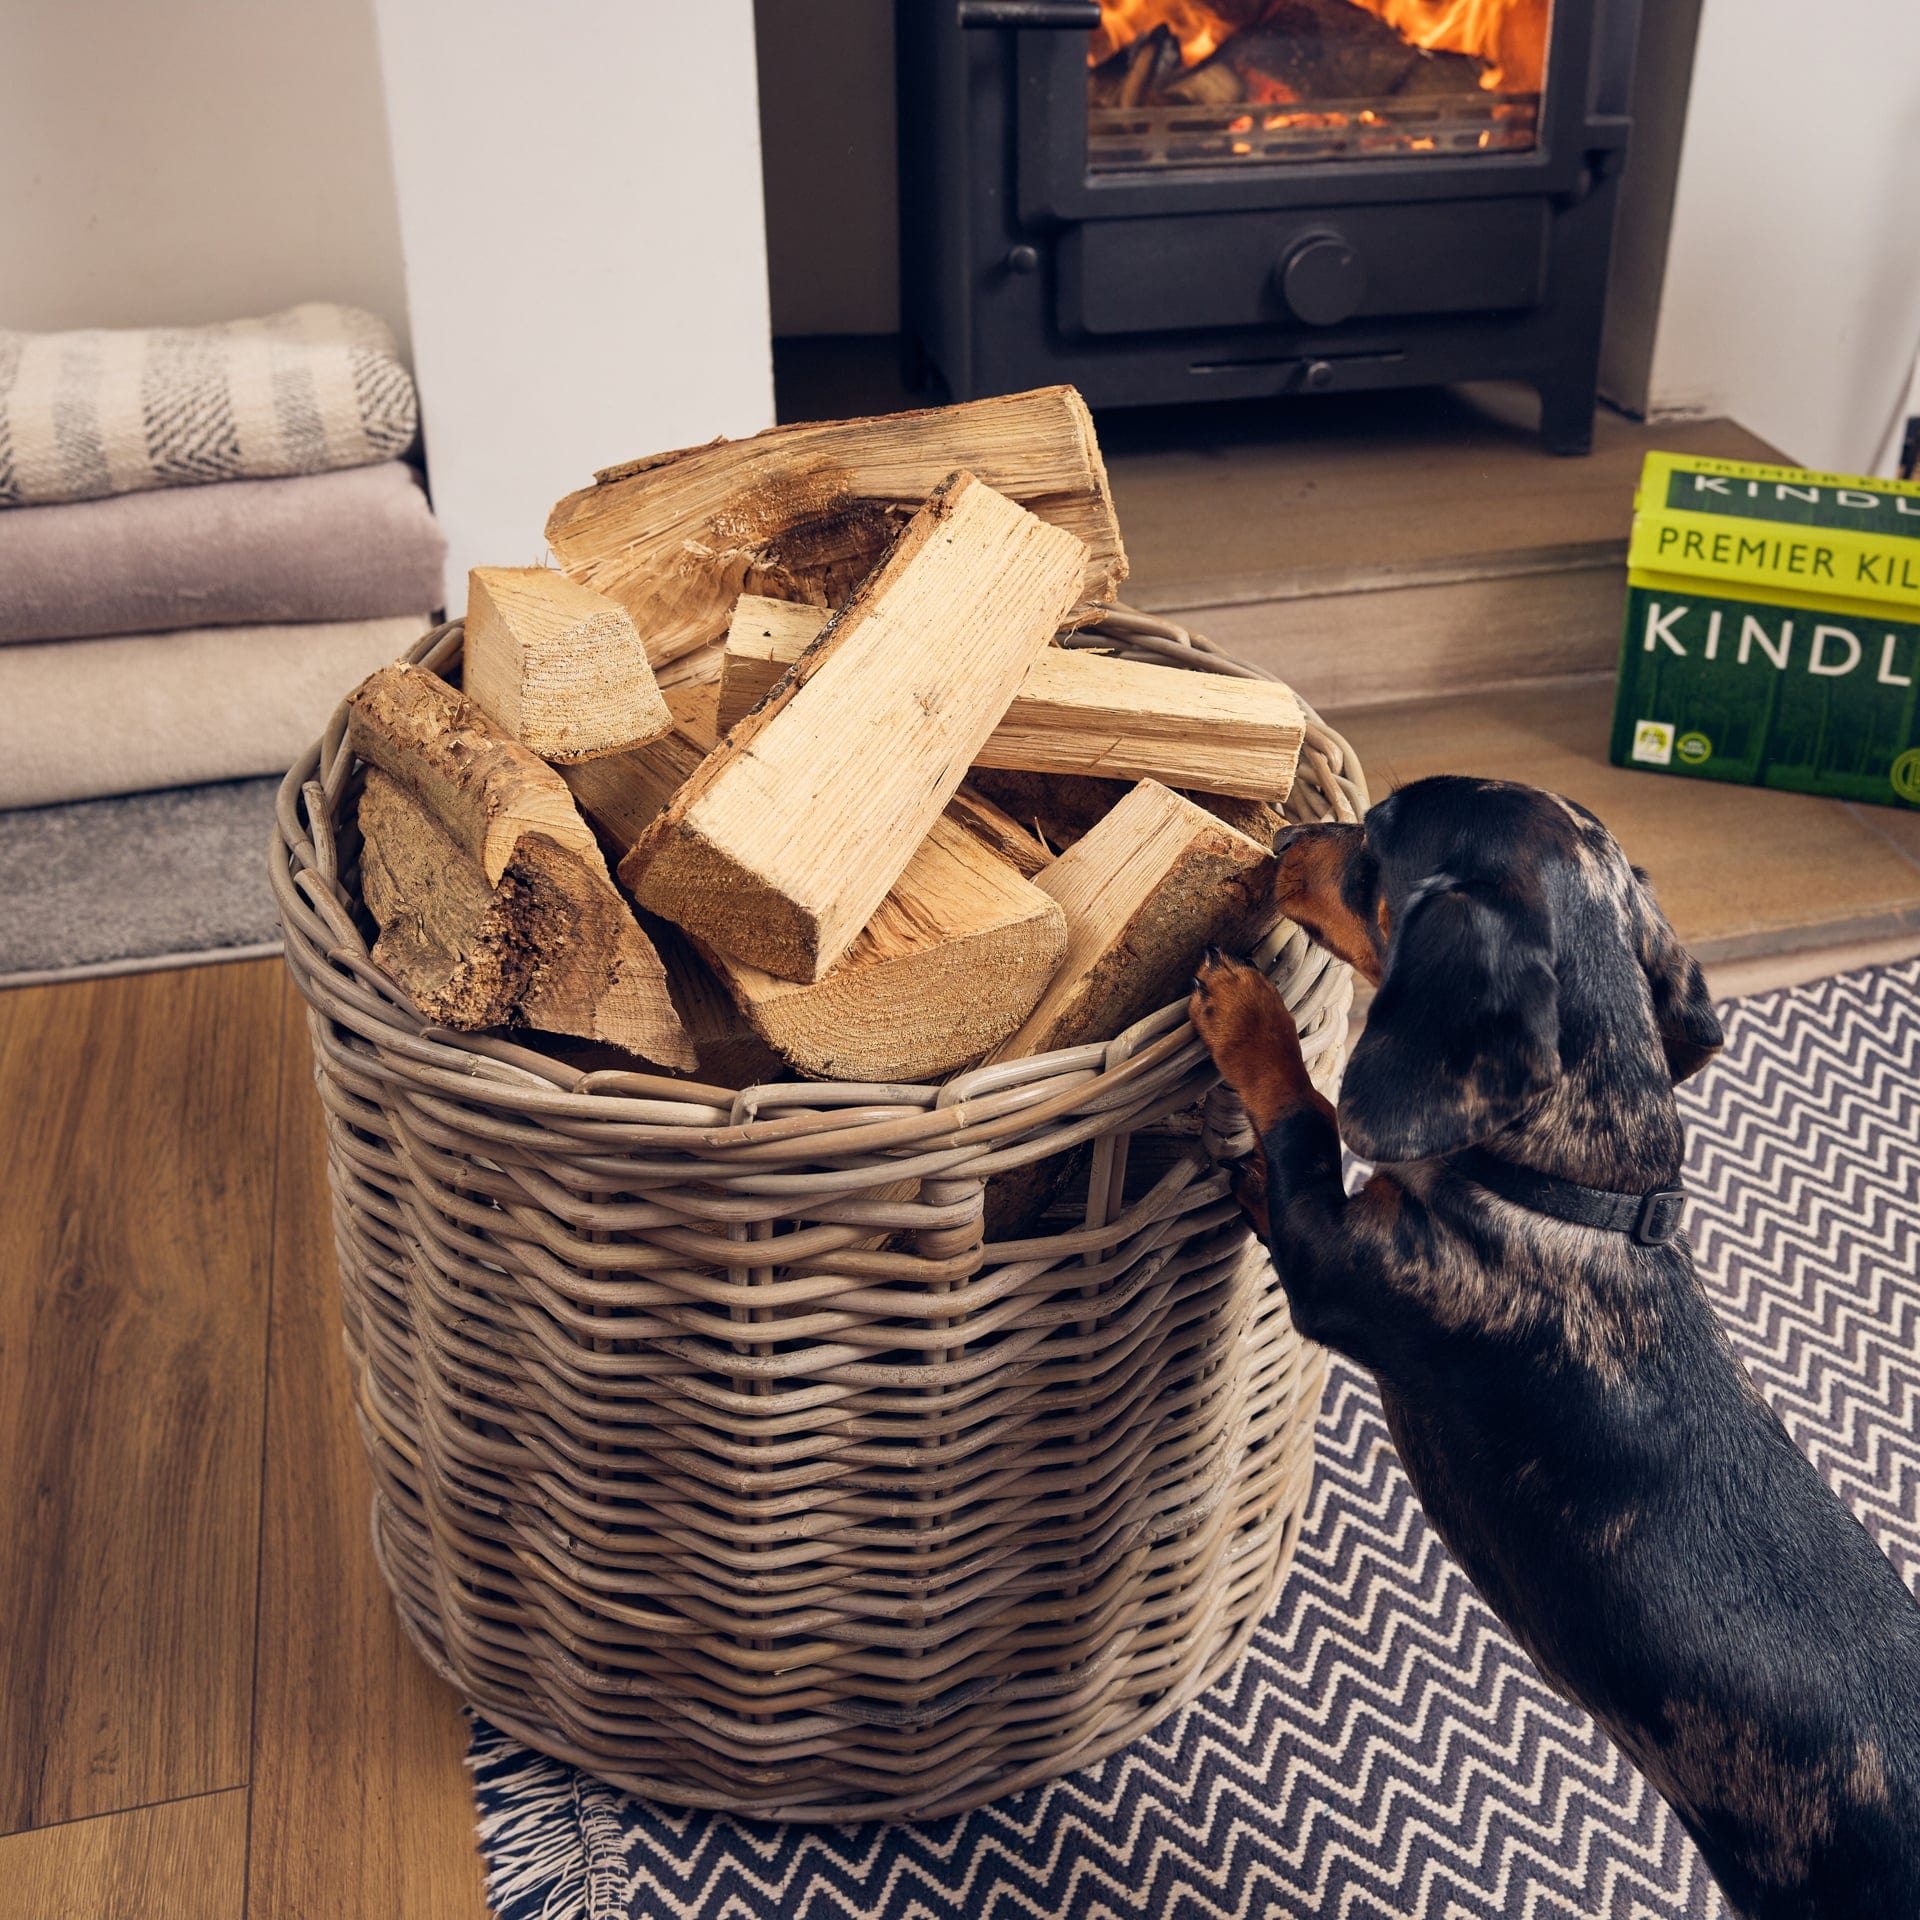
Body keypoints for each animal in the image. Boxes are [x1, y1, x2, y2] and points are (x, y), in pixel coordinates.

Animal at [1190, 779, 1912, 1920]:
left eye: (1375, 846)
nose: (1291, 836)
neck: (1574, 1197)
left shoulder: (1337, 1266)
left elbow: (1307, 1119)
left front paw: (1249, 1013)